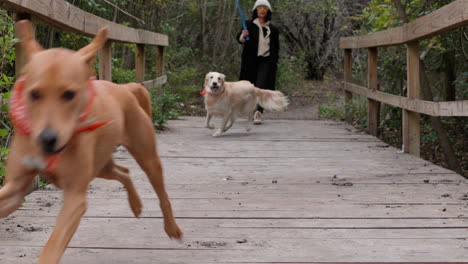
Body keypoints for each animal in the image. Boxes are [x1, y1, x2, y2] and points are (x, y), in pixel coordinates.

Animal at [0, 20, 183, 262]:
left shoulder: (75, 199)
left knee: (162, 194)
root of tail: (124, 88)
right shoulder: (15, 188)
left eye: (69, 94)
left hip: (147, 156)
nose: (47, 139)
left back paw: (172, 227)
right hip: (100, 165)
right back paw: (135, 205)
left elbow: (52, 246)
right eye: (34, 94)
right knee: (123, 171)